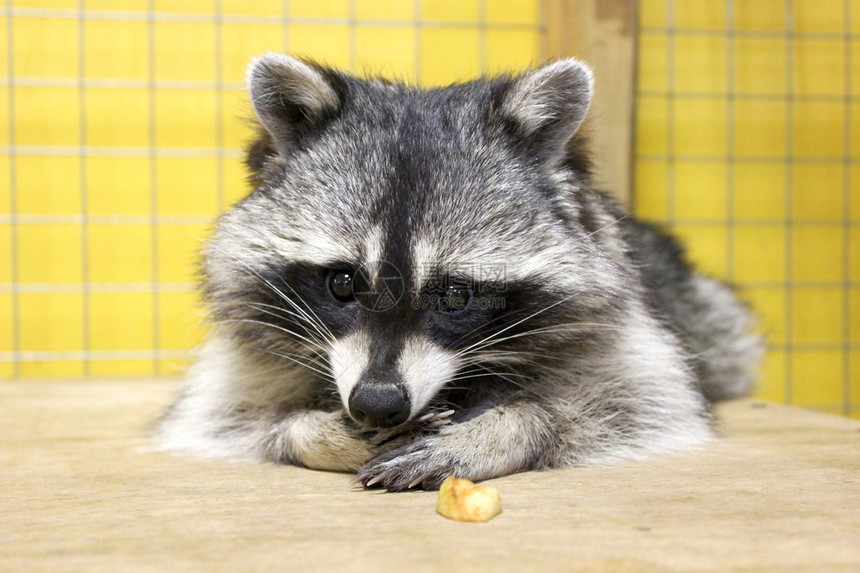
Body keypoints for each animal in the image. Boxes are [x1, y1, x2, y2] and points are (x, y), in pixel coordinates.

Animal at [153, 53, 760, 490]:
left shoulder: (628, 339)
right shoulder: (244, 365)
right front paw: (319, 431)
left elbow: (640, 401)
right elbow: (231, 415)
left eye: (455, 295)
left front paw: (504, 429)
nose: (377, 405)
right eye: (343, 283)